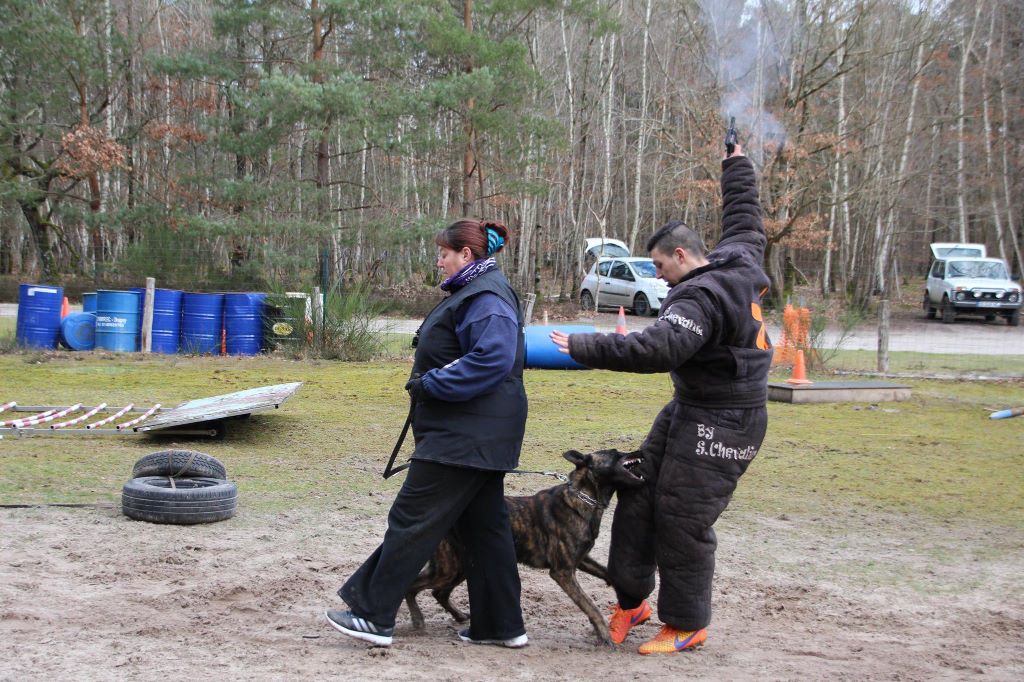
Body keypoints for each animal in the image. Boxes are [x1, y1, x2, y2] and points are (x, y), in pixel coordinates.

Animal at [405, 446, 638, 643]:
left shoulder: (582, 560)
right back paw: (417, 620)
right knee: (412, 585)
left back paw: (460, 616)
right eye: (615, 453)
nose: (640, 452)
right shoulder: (563, 572)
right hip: (448, 569)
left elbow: (610, 575)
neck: (583, 497)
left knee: (439, 593)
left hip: (459, 567)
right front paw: (604, 635)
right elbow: (590, 606)